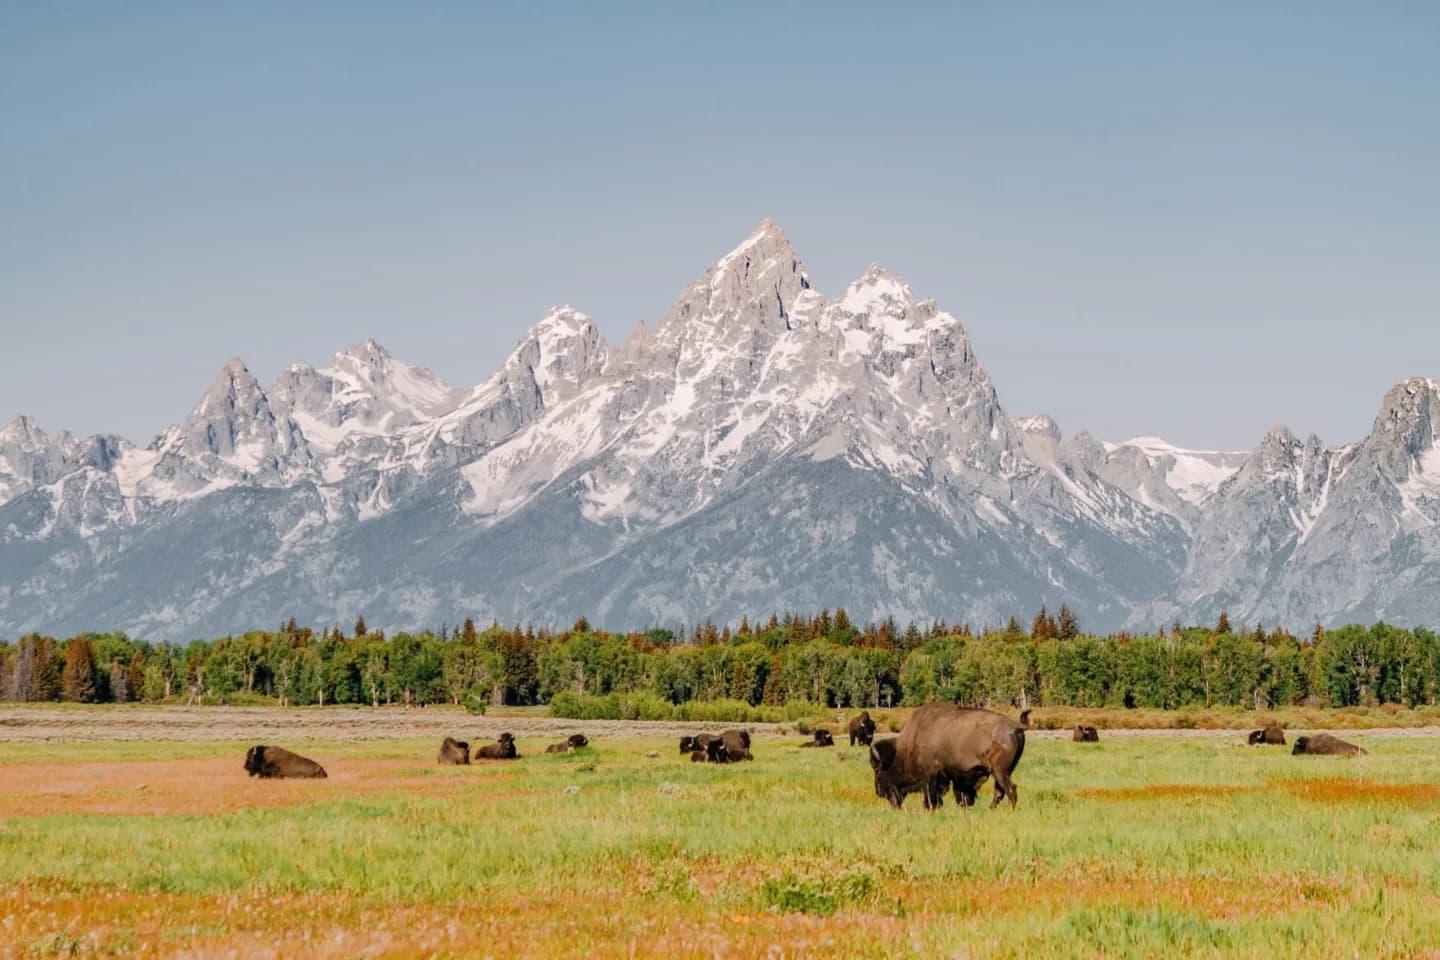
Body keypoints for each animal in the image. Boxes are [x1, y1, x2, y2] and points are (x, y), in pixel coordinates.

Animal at [869, 704, 1027, 810]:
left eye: (877, 770)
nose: (878, 791)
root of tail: (1014, 726)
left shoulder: (933, 776)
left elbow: (932, 794)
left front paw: (930, 807)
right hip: (1002, 771)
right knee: (1000, 790)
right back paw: (991, 809)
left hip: (1000, 771)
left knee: (1009, 788)